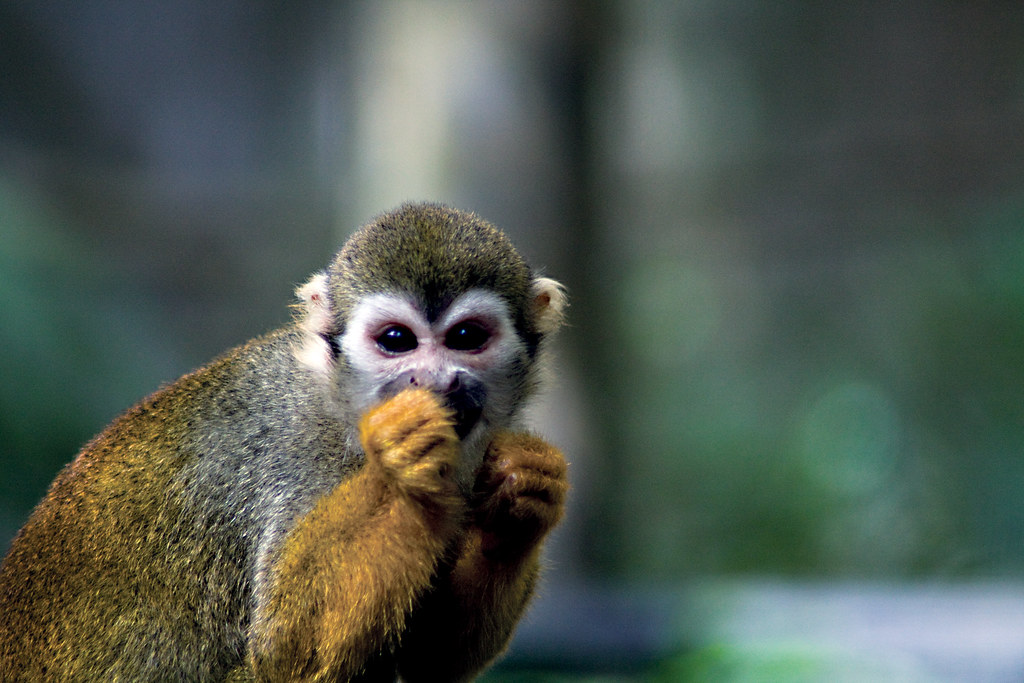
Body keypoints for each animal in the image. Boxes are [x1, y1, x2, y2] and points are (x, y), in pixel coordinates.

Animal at [0, 202, 568, 682]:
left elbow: (429, 658)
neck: (344, 412)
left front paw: (520, 501)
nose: (433, 382)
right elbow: (288, 652)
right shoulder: (292, 452)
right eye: (396, 341)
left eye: (467, 338)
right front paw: (401, 464)